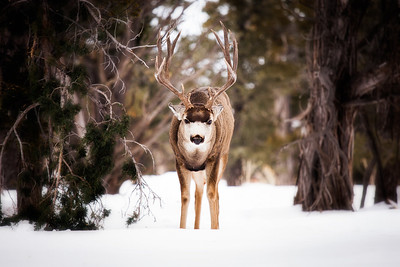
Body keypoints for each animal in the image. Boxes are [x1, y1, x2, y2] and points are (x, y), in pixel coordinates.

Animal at [155, 22, 238, 230]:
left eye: (209, 121)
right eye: (185, 119)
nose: (197, 138)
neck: (195, 158)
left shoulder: (214, 158)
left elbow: (212, 193)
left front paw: (215, 228)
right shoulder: (178, 160)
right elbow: (185, 196)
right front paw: (183, 229)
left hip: (224, 155)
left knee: (214, 191)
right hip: (198, 170)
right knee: (198, 191)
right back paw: (196, 227)